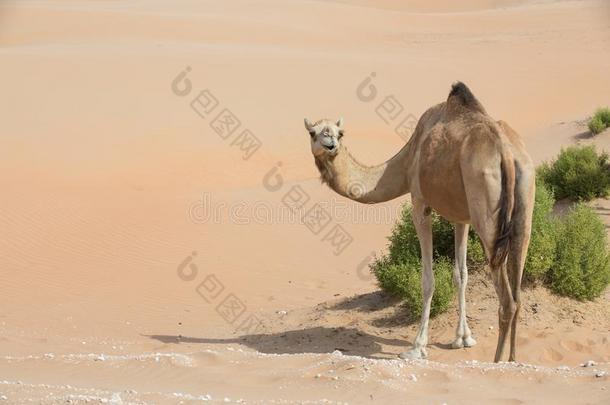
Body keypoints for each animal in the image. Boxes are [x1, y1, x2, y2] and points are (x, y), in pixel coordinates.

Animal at [304, 82, 532, 360]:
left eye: (340, 132)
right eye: (314, 133)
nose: (331, 145)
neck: (407, 160)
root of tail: (506, 153)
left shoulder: (420, 203)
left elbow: (428, 279)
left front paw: (417, 347)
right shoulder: (462, 216)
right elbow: (461, 274)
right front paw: (462, 338)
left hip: (487, 210)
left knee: (507, 301)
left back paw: (497, 362)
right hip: (524, 202)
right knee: (518, 292)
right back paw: (512, 360)